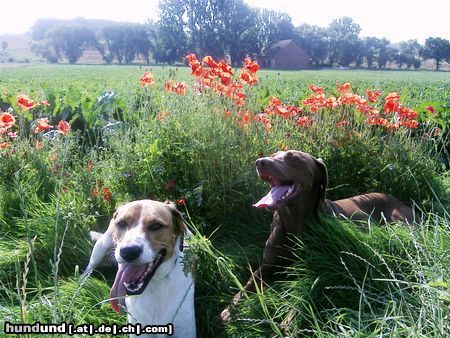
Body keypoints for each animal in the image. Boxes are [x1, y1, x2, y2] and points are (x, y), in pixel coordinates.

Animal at [84, 199, 195, 336]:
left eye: (156, 226)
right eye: (121, 223)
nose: (128, 251)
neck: (155, 283)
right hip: (100, 248)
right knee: (89, 268)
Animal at [220, 150, 414, 322]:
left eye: (293, 157)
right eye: (273, 155)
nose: (260, 162)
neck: (294, 221)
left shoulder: (319, 270)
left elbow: (304, 294)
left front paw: (287, 323)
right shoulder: (267, 266)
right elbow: (246, 286)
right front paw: (228, 312)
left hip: (399, 221)